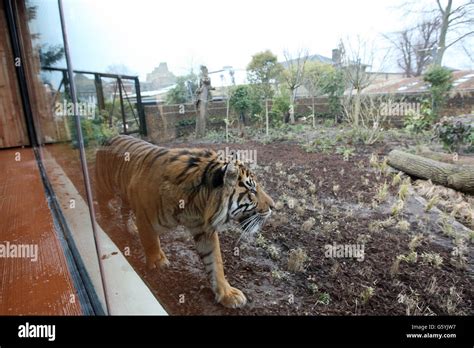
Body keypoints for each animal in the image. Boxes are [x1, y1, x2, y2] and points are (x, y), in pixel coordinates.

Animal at [95, 134, 274, 308]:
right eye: (252, 190)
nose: (273, 206)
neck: (196, 204)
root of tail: (109, 137)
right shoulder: (144, 214)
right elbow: (151, 241)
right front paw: (158, 262)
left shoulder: (204, 230)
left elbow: (215, 262)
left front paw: (227, 294)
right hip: (105, 189)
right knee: (103, 205)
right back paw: (107, 222)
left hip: (125, 195)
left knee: (124, 210)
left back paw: (131, 229)